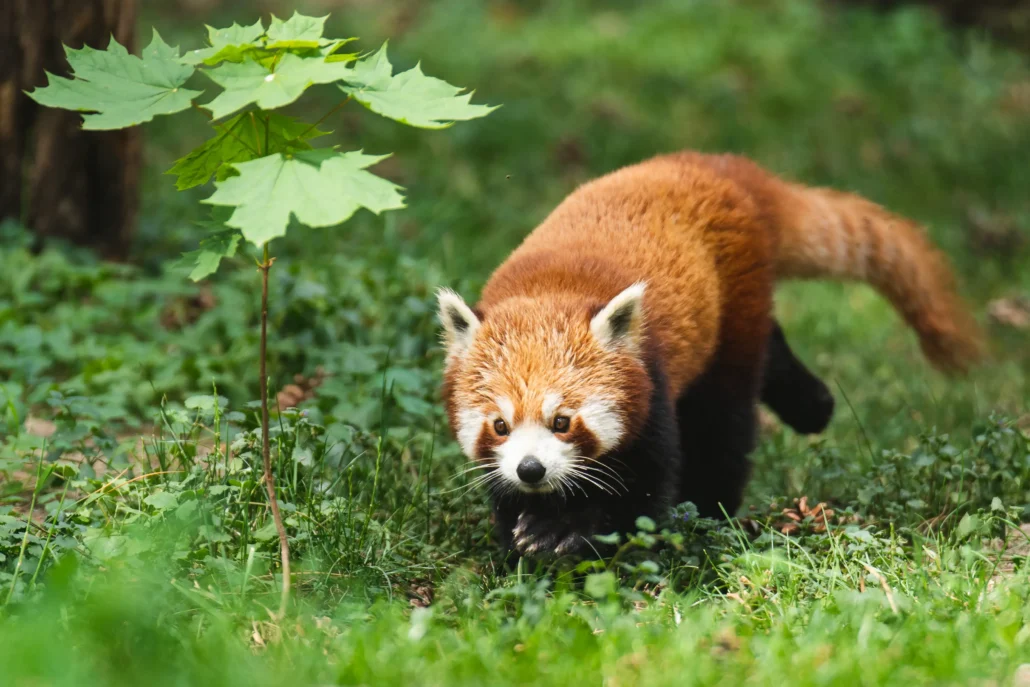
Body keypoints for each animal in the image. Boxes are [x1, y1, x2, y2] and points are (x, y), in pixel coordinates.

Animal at [434, 150, 980, 560]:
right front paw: (522, 538)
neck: (552, 289)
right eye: (499, 425)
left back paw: (714, 507)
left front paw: (571, 531)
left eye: (563, 421)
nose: (532, 469)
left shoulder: (650, 382)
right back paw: (814, 403)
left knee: (726, 422)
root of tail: (713, 165)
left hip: (730, 312)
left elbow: (642, 491)